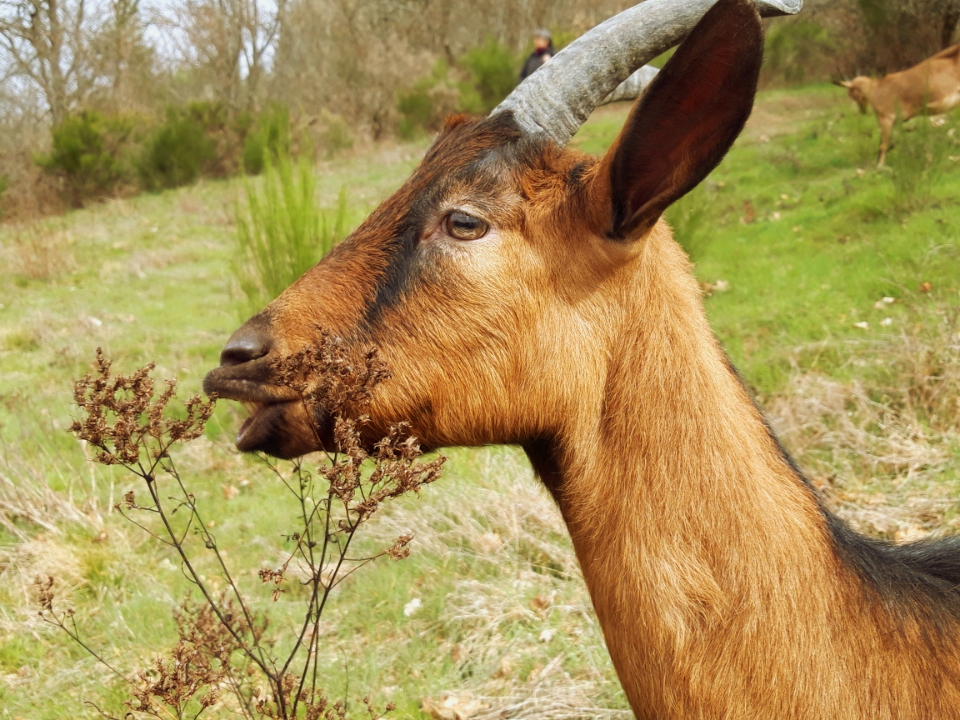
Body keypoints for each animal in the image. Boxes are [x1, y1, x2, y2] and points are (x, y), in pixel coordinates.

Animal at [832, 44, 960, 167]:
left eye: (851, 93)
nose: (862, 111)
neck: (876, 89)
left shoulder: (886, 118)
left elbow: (883, 144)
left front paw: (879, 166)